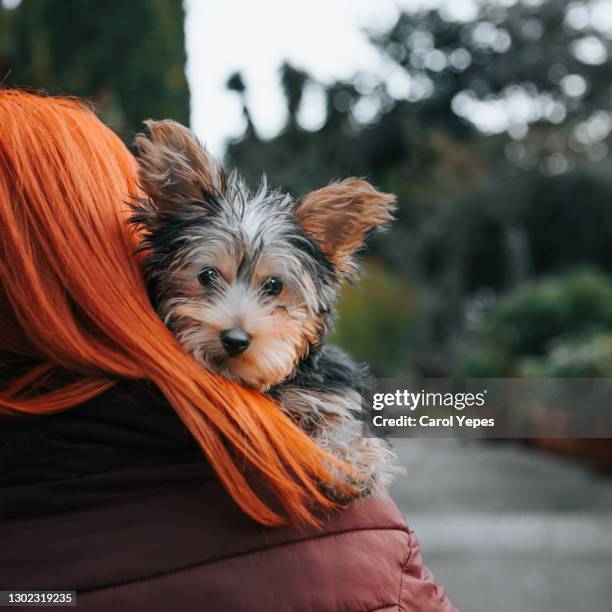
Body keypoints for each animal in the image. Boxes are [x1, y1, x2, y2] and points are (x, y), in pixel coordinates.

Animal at [131, 119, 400, 498]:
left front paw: (352, 461)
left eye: (274, 285)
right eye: (206, 275)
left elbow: (340, 420)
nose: (235, 339)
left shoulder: (331, 391)